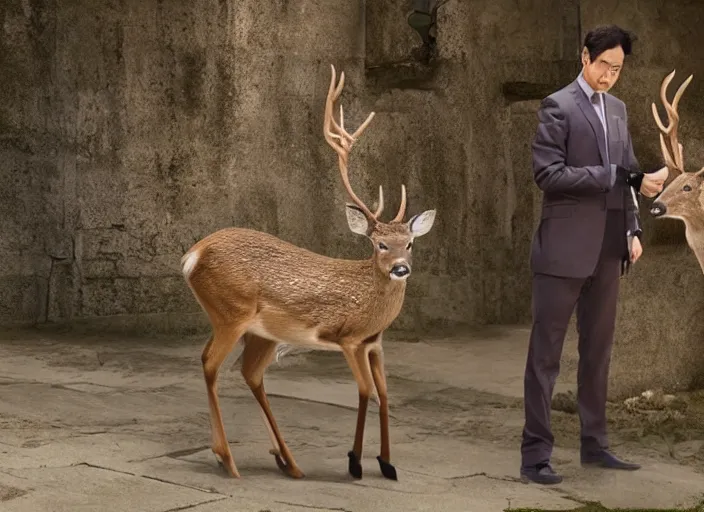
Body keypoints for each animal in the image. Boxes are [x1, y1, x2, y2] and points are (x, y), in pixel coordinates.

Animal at [180, 63, 434, 480]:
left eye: (410, 243)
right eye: (379, 244)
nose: (400, 268)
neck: (370, 307)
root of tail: (193, 254)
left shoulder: (374, 343)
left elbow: (384, 394)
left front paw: (387, 463)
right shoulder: (348, 338)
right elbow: (364, 391)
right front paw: (355, 463)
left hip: (260, 333)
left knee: (249, 373)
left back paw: (288, 461)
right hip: (231, 312)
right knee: (210, 364)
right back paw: (228, 459)